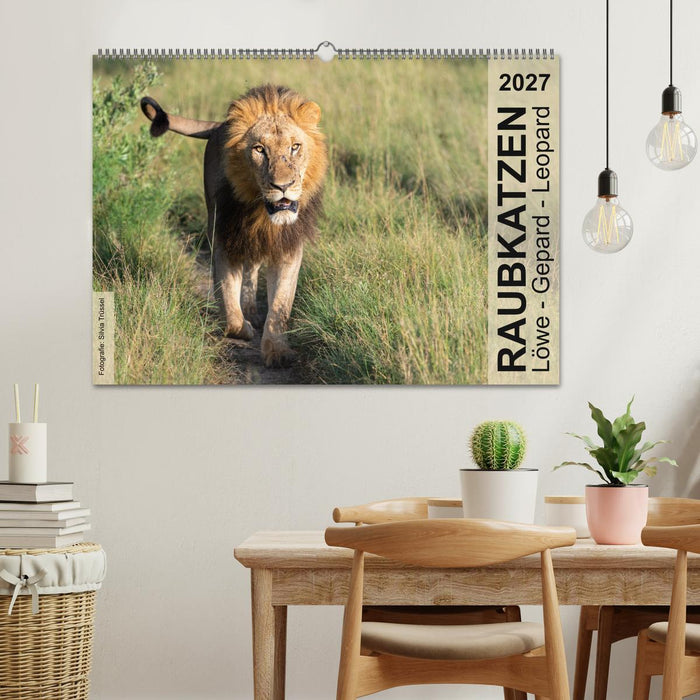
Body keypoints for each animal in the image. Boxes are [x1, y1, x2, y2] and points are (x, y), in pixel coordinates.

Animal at [140, 85, 328, 368]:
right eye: (259, 149)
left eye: (295, 147)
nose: (283, 186)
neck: (261, 213)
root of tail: (219, 126)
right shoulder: (223, 239)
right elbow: (228, 302)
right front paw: (243, 328)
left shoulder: (288, 248)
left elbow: (281, 305)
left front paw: (277, 351)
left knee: (253, 267)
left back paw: (252, 309)